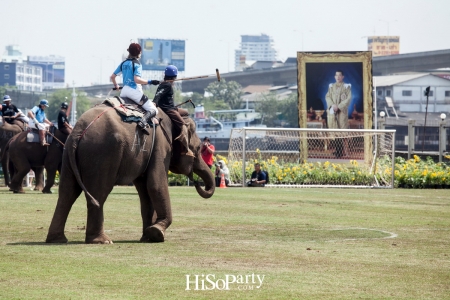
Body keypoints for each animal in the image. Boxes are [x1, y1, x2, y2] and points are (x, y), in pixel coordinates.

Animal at [46, 104, 215, 245]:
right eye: (199, 148)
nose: (197, 182)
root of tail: (78, 131)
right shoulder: (161, 147)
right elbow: (156, 184)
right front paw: (157, 233)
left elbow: (145, 191)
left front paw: (148, 237)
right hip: (102, 154)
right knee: (98, 193)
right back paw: (102, 241)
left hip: (69, 156)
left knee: (67, 193)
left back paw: (57, 240)